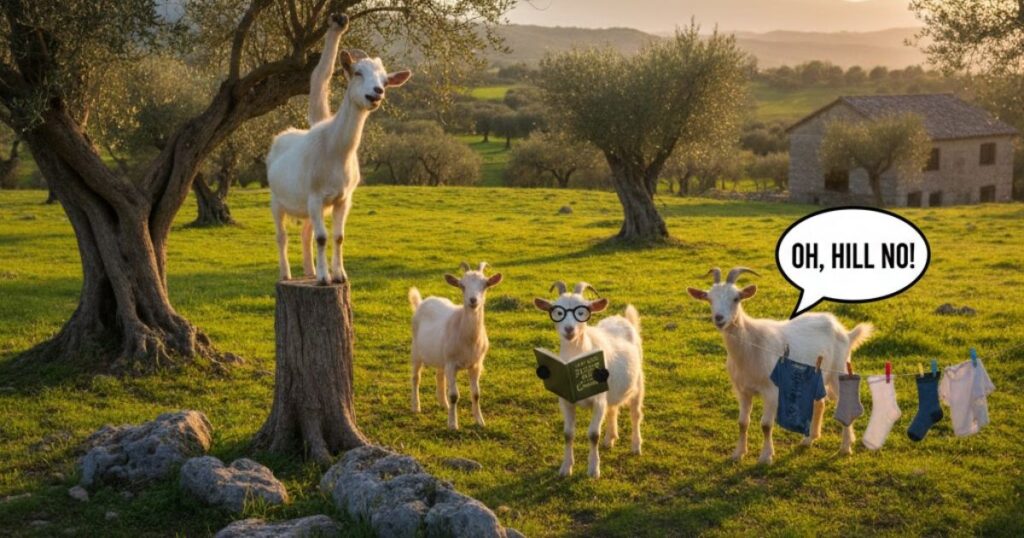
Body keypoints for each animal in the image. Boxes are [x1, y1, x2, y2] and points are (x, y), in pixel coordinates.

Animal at [267, 13, 411, 284]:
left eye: (386, 80)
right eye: (357, 72)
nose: (377, 92)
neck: (335, 148)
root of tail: (282, 136)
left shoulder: (343, 199)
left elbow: (337, 237)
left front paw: (339, 275)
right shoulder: (315, 196)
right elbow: (323, 238)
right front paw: (326, 279)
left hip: (309, 207)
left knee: (306, 233)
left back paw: (310, 271)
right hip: (277, 200)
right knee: (282, 236)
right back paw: (286, 273)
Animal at [409, 262, 503, 430]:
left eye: (485, 284)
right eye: (462, 285)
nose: (473, 300)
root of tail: (422, 302)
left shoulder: (476, 364)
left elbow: (476, 394)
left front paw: (480, 421)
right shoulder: (452, 364)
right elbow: (454, 395)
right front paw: (453, 424)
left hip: (441, 356)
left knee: (439, 375)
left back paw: (443, 404)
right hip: (416, 350)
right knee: (415, 378)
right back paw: (416, 406)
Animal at [534, 282, 644, 478]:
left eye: (582, 311)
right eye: (557, 311)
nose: (569, 329)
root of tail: (623, 319)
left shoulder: (598, 400)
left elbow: (593, 434)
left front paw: (593, 469)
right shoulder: (566, 400)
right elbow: (568, 434)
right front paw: (565, 468)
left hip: (637, 383)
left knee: (635, 414)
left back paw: (636, 446)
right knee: (613, 408)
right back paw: (610, 439)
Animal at [687, 267, 874, 464]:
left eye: (736, 298)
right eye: (709, 299)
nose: (719, 318)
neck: (751, 344)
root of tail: (845, 332)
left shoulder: (772, 390)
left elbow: (766, 425)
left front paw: (766, 456)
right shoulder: (743, 391)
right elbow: (742, 423)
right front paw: (738, 453)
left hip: (839, 370)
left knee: (844, 403)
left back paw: (845, 447)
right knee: (820, 403)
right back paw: (809, 439)